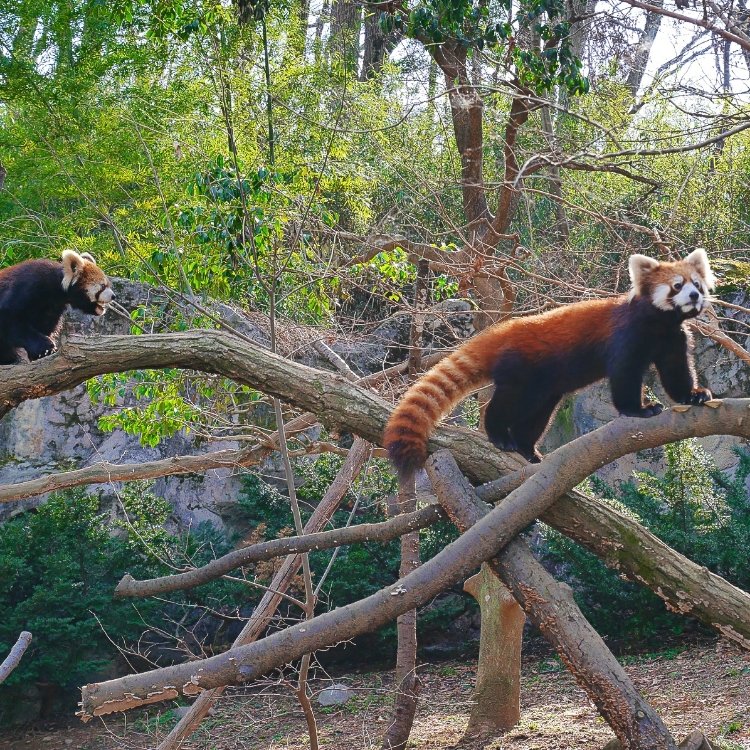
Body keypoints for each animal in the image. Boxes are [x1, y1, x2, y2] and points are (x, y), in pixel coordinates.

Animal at [384, 250, 720, 478]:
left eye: (697, 284)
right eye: (677, 285)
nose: (694, 295)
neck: (661, 324)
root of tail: (502, 331)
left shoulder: (673, 339)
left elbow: (676, 372)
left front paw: (693, 395)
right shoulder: (627, 337)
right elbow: (624, 376)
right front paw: (638, 410)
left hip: (544, 388)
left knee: (536, 415)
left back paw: (526, 447)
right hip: (521, 370)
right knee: (505, 404)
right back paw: (498, 435)